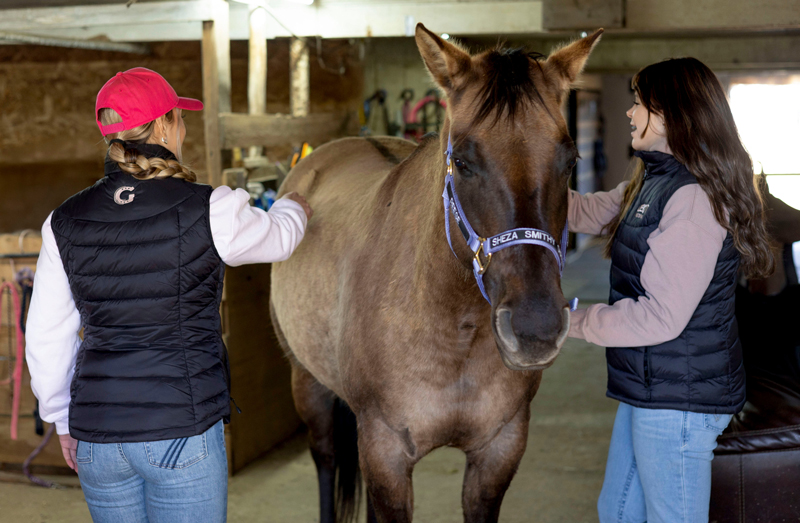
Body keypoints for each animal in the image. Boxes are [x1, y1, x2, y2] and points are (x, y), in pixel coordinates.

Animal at [270, 24, 603, 523]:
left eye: (570, 161)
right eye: (462, 161)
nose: (535, 328)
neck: (453, 328)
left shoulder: (498, 451)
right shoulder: (386, 452)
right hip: (307, 384)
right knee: (325, 459)